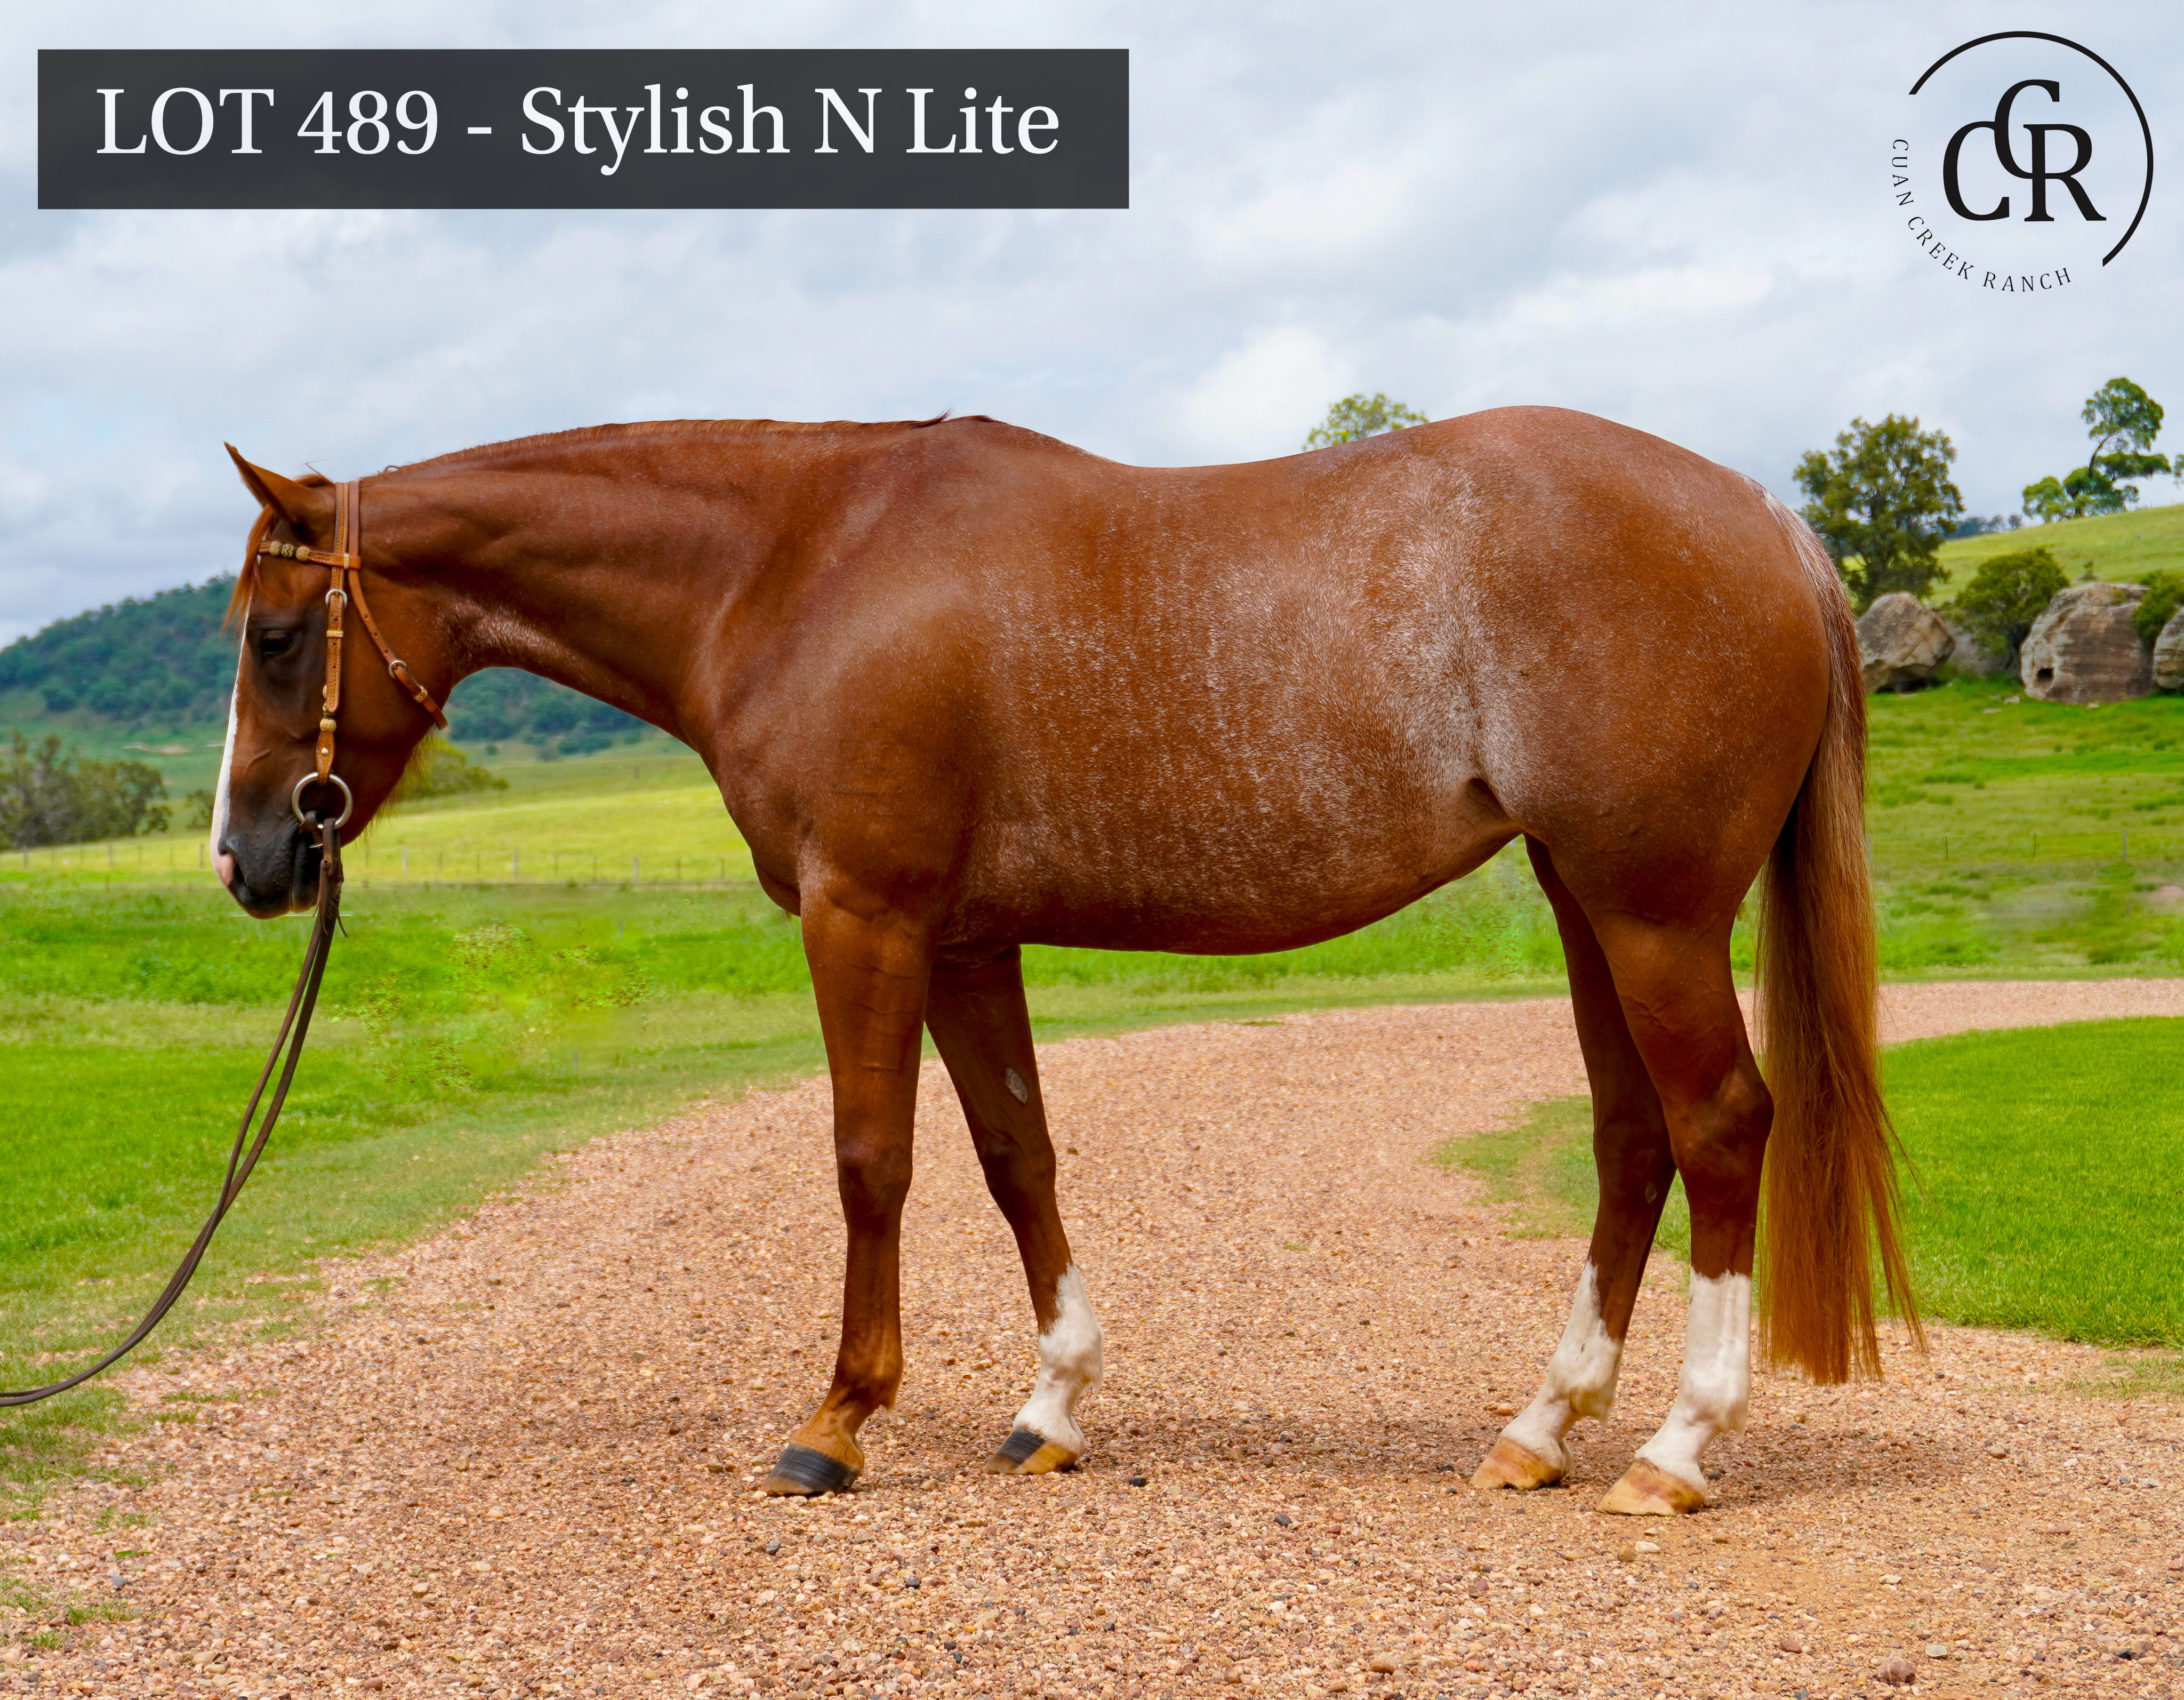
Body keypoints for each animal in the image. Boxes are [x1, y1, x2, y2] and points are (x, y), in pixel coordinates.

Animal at [211, 406, 1915, 1514]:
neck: (795, 565)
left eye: (278, 637)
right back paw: (1541, 1429)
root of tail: (1769, 520)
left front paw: (838, 1419)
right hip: (1586, 902)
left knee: (1721, 1128)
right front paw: (1051, 1406)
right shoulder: (966, 936)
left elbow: (872, 1158)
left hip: (1654, 911)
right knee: (1633, 1139)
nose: (249, 860)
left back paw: (1676, 1451)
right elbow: (1014, 1153)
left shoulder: (866, 915)